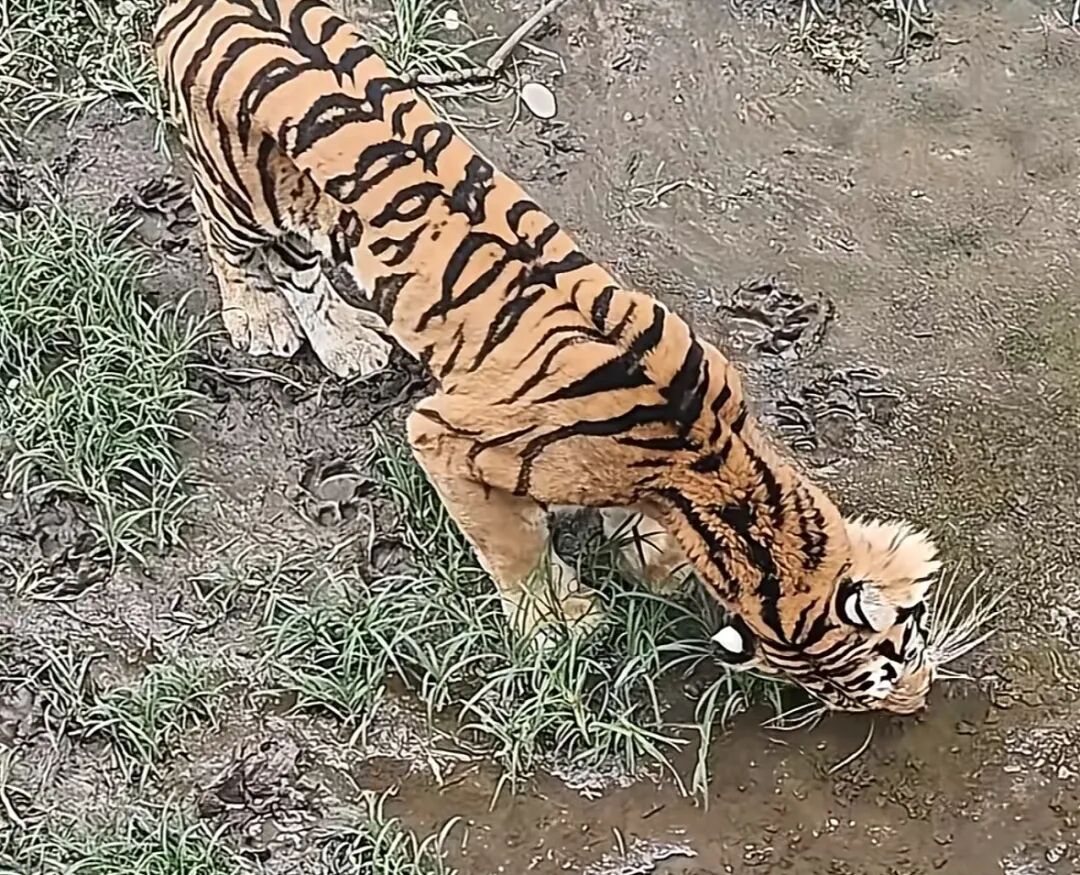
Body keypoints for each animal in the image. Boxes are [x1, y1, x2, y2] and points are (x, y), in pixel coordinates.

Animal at [154, 0, 944, 714]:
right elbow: (515, 543)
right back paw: (262, 320)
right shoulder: (444, 435)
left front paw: (647, 563)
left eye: (905, 650)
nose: (914, 706)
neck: (712, 458)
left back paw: (349, 342)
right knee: (232, 244)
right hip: (241, 192)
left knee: (304, 268)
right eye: (882, 674)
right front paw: (560, 624)